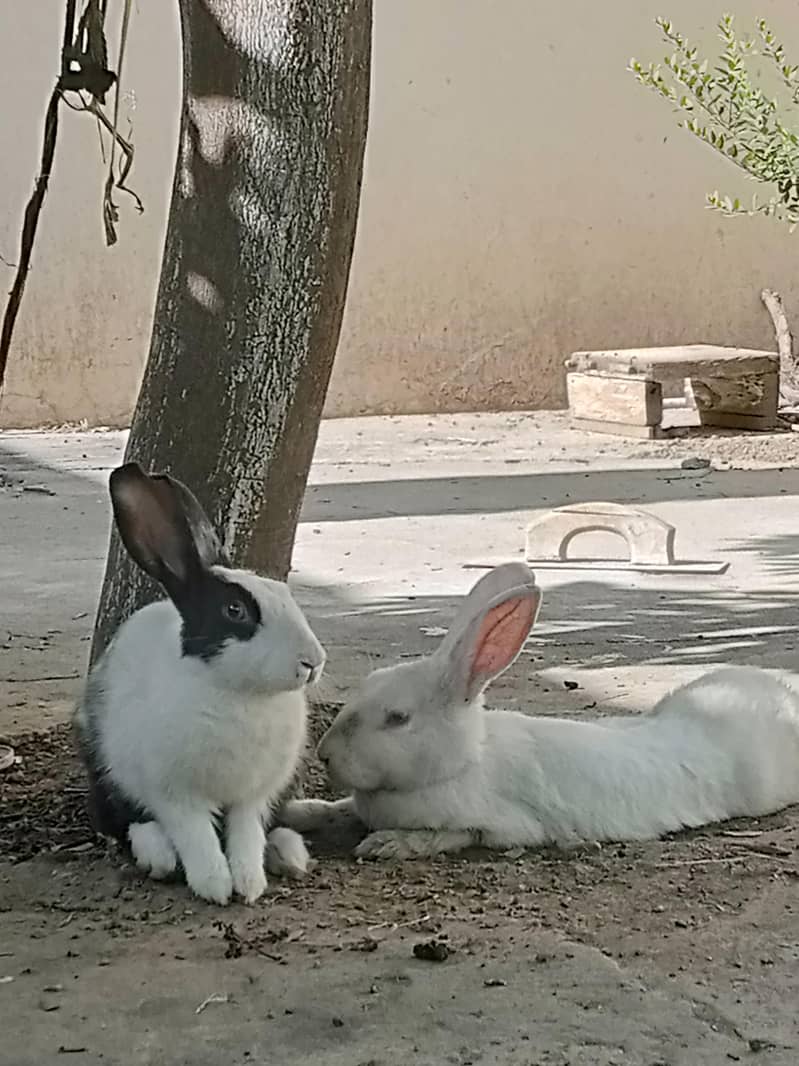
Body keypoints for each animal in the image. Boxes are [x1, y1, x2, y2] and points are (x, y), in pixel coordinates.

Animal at [73, 461, 326, 904]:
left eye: (284, 593)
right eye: (235, 610)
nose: (313, 661)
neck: (241, 694)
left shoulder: (252, 797)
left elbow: (246, 837)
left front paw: (249, 884)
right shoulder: (177, 796)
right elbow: (198, 839)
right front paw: (215, 887)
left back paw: (288, 854)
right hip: (105, 772)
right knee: (122, 823)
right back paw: (157, 854)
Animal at [280, 562, 799, 861]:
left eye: (397, 718)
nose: (325, 755)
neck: (465, 762)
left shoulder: (499, 825)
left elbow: (451, 836)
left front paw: (386, 844)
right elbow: (338, 809)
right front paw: (300, 810)